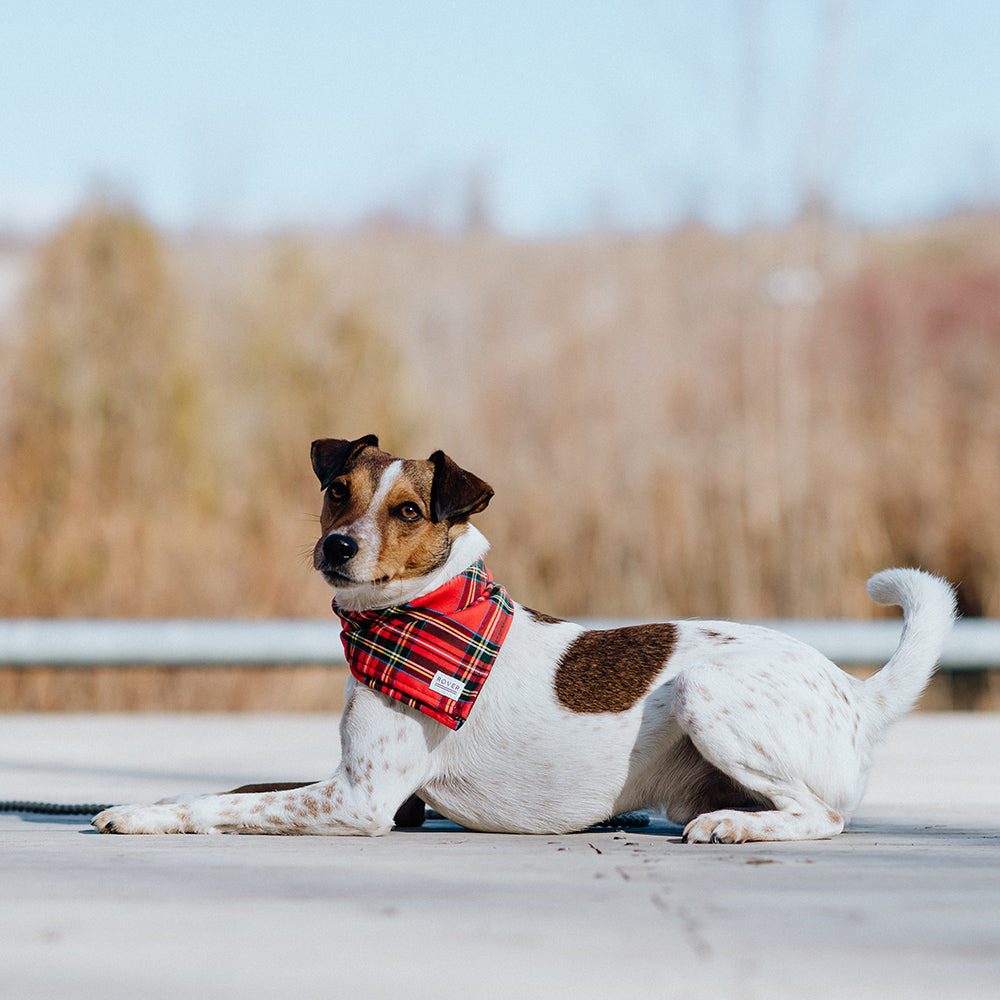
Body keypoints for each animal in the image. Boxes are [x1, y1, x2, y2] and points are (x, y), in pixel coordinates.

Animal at [95, 434, 960, 840]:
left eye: (408, 511)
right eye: (336, 491)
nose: (336, 548)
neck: (419, 614)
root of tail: (855, 693)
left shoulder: (361, 798)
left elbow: (222, 806)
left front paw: (147, 817)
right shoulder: (369, 792)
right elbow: (234, 792)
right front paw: (142, 802)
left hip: (707, 693)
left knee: (822, 814)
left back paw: (737, 827)